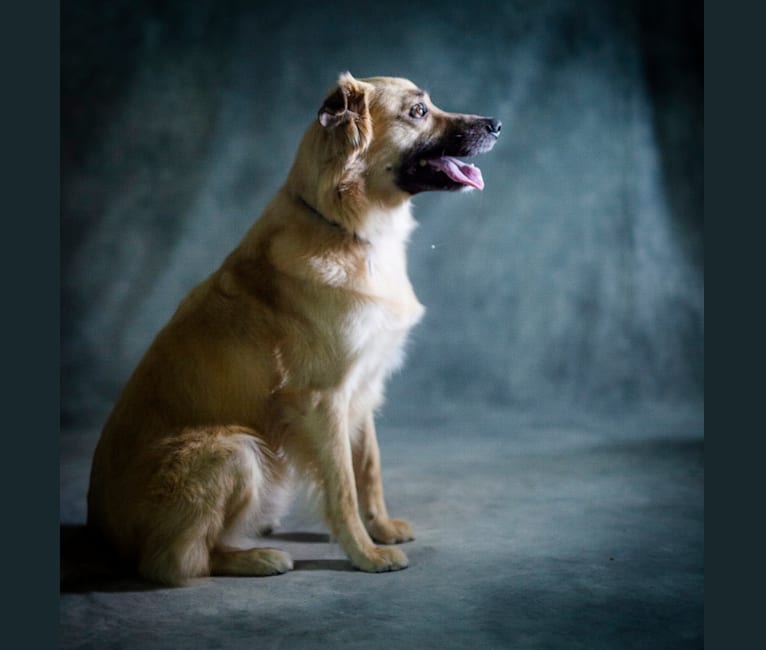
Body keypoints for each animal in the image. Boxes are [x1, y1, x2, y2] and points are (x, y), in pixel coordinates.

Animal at [87, 72, 500, 584]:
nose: (496, 124)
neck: (344, 225)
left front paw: (381, 528)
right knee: (174, 562)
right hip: (235, 450)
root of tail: (101, 532)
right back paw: (256, 557)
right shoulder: (323, 400)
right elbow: (342, 486)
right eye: (418, 112)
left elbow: (369, 468)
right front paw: (365, 553)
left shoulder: (362, 388)